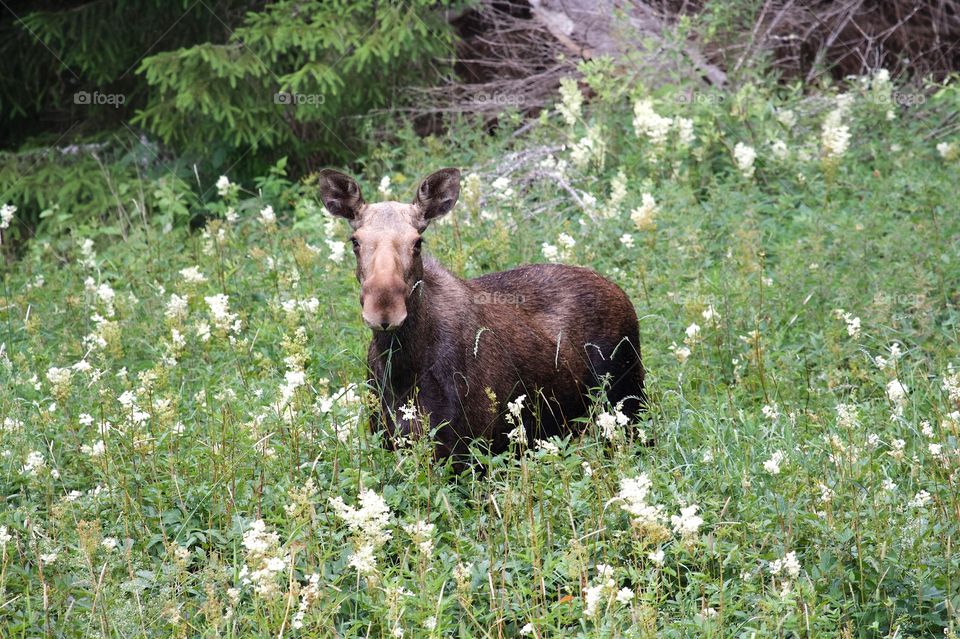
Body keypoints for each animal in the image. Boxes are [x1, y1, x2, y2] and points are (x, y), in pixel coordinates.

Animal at [320, 168, 644, 462]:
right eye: (355, 241)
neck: (403, 367)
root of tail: (620, 292)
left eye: (417, 242)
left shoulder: (466, 451)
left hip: (628, 404)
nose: (384, 311)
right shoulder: (391, 441)